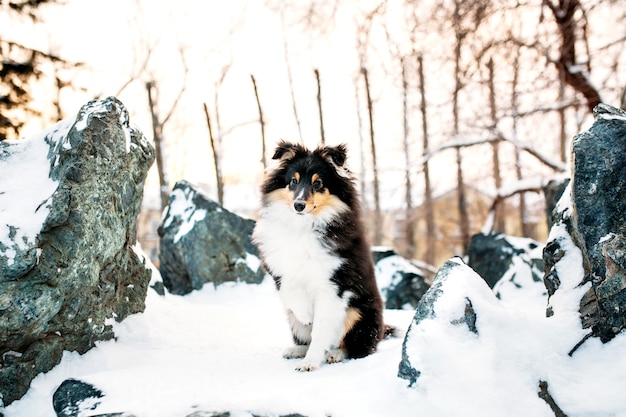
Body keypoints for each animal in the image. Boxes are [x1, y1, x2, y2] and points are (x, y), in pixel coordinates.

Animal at [252, 140, 386, 370]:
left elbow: (321, 329)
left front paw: (310, 363)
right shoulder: (280, 271)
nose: (298, 205)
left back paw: (335, 354)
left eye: (318, 183)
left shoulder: (333, 285)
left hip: (359, 313)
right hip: (292, 319)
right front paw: (306, 315)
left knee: (355, 347)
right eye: (293, 181)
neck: (303, 226)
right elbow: (291, 294)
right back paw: (296, 350)